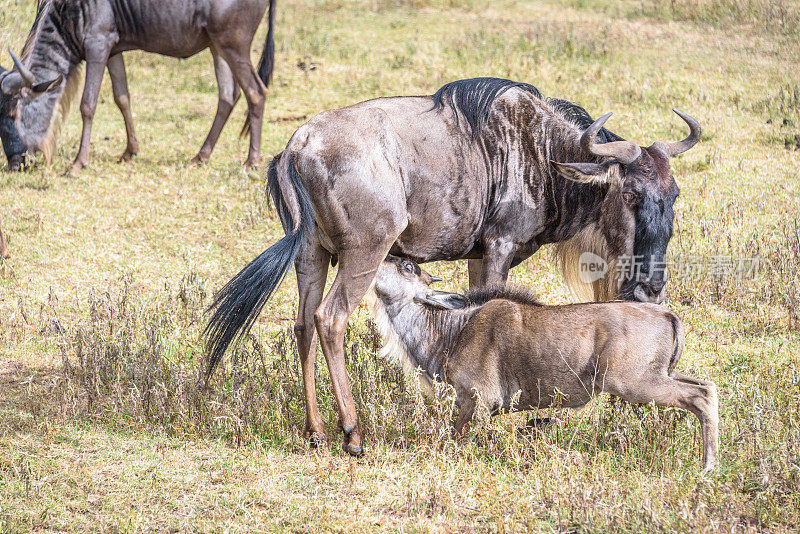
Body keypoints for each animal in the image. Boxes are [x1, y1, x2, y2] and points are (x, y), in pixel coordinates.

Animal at [372, 256, 720, 474]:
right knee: (708, 386)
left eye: (406, 266)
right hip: (662, 375)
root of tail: (665, 313)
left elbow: (455, 438)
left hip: (636, 384)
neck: (456, 328)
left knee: (700, 397)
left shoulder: (477, 400)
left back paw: (707, 468)